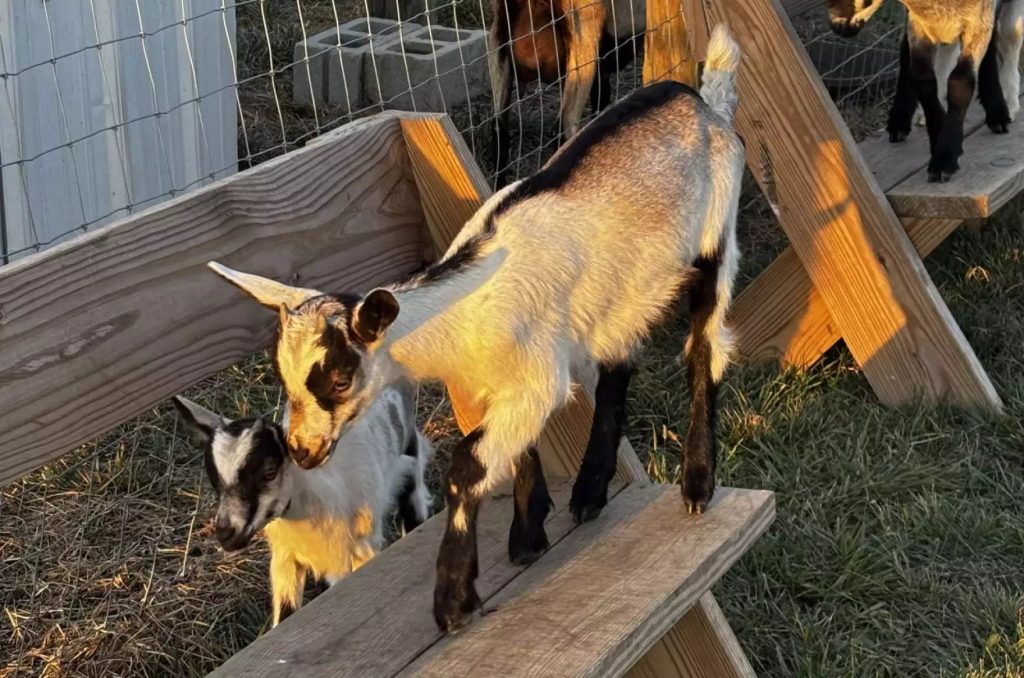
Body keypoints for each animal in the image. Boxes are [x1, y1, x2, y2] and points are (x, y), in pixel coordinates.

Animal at [207, 24, 743, 634]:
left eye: (340, 380)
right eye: (283, 378)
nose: (302, 449)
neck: (466, 309)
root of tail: (704, 102)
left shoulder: (535, 379)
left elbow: (466, 465)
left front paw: (454, 600)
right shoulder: (498, 385)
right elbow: (519, 451)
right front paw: (530, 533)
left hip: (716, 240)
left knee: (705, 349)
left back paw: (696, 485)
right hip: (622, 292)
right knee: (619, 365)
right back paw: (589, 491)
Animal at [828, 0, 1024, 182]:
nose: (837, 27)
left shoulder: (978, 20)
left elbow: (961, 80)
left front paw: (945, 158)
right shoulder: (918, 24)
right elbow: (923, 78)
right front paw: (938, 135)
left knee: (1006, 37)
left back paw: (1003, 107)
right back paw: (901, 121)